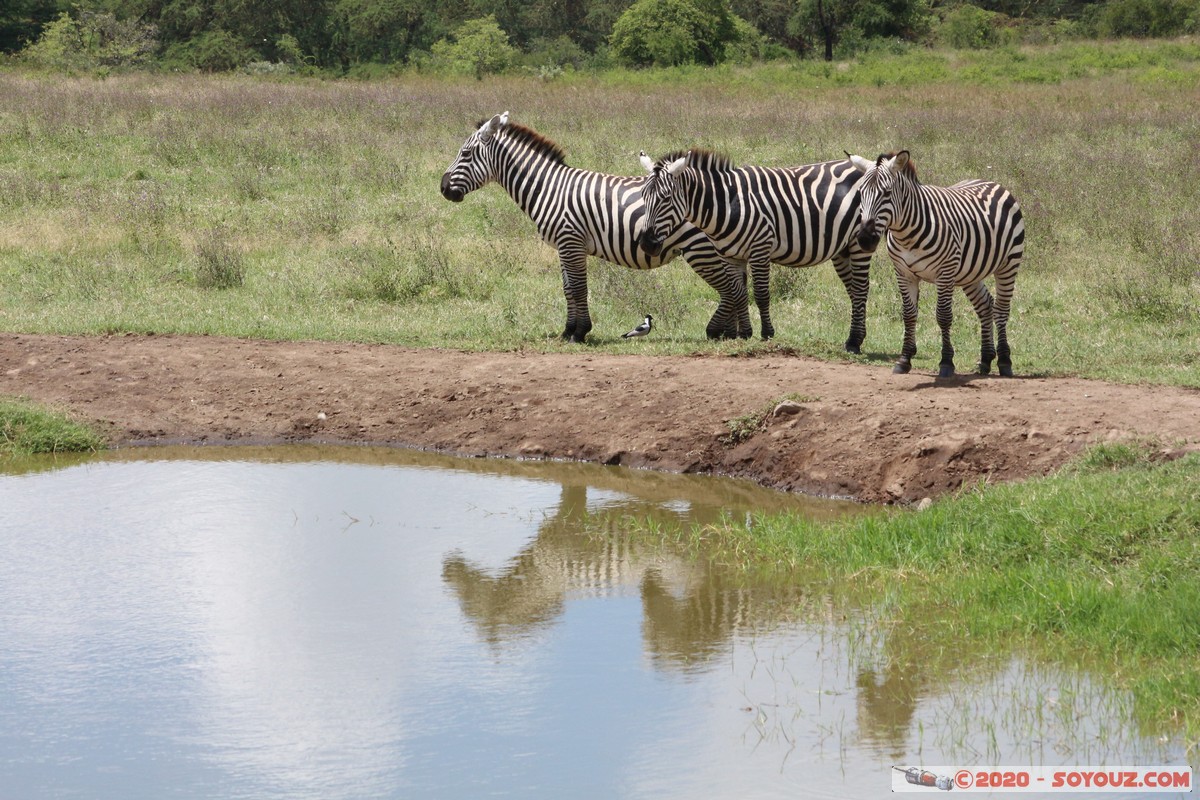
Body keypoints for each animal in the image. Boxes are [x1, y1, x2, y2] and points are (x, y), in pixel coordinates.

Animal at [439, 112, 748, 340]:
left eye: (465, 154)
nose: (442, 188)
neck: (548, 188)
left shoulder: (571, 241)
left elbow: (577, 288)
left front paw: (580, 332)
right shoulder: (563, 246)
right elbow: (567, 288)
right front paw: (567, 331)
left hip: (700, 249)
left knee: (730, 287)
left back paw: (719, 331)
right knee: (736, 284)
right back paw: (731, 333)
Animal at [633, 149, 878, 350]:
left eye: (665, 199)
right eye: (643, 196)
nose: (646, 244)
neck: (727, 204)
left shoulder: (760, 249)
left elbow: (760, 295)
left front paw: (766, 333)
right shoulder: (730, 255)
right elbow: (738, 293)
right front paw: (742, 334)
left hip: (859, 243)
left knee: (861, 289)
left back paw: (855, 341)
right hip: (842, 249)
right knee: (854, 290)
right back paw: (856, 338)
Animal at [849, 151, 1027, 381]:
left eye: (887, 193)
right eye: (860, 193)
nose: (864, 239)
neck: (906, 233)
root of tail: (992, 182)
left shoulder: (946, 272)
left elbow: (943, 316)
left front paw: (946, 362)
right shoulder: (903, 273)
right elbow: (909, 314)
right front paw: (904, 360)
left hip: (1008, 264)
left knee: (1002, 309)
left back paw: (1004, 361)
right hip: (970, 272)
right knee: (986, 305)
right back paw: (986, 360)